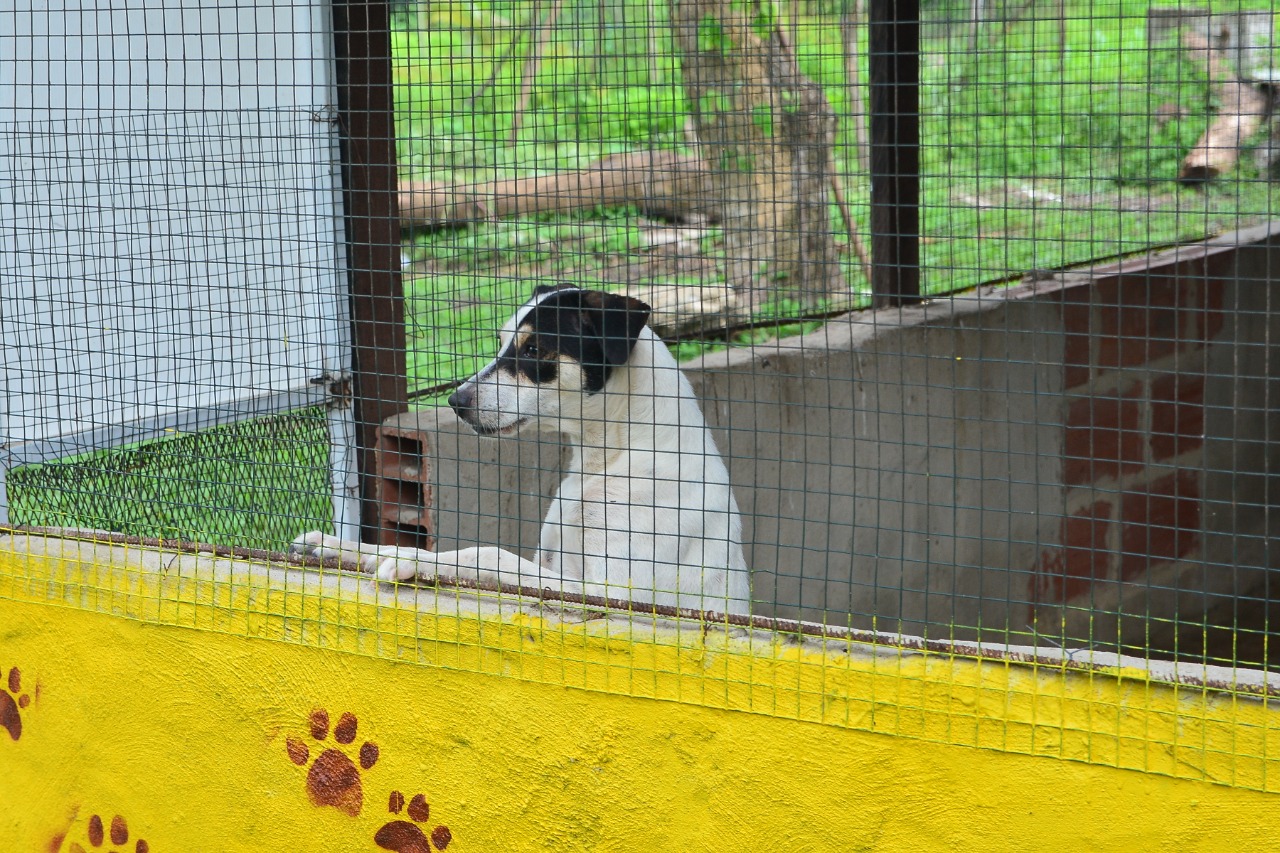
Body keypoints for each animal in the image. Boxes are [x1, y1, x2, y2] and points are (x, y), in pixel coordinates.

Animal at [293, 284, 747, 612]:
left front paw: (421, 563)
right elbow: (398, 544)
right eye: (501, 341)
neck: (607, 460)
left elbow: (491, 555)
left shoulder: (610, 594)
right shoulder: (552, 558)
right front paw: (345, 547)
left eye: (533, 348)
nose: (455, 401)